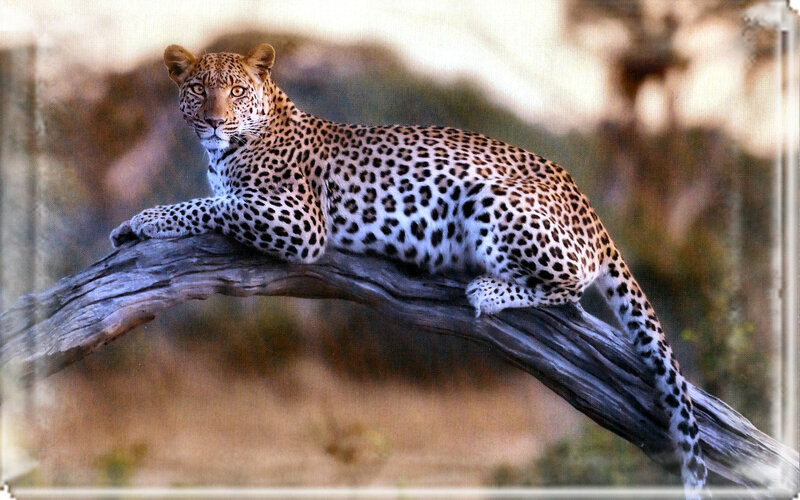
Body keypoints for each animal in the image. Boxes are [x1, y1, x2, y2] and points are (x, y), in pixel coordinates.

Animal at [110, 43, 708, 497]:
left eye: (235, 91)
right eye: (197, 89)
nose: (215, 121)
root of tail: (586, 202)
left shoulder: (298, 219)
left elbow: (211, 206)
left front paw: (143, 220)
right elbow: (214, 200)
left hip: (494, 200)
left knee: (572, 284)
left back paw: (489, 291)